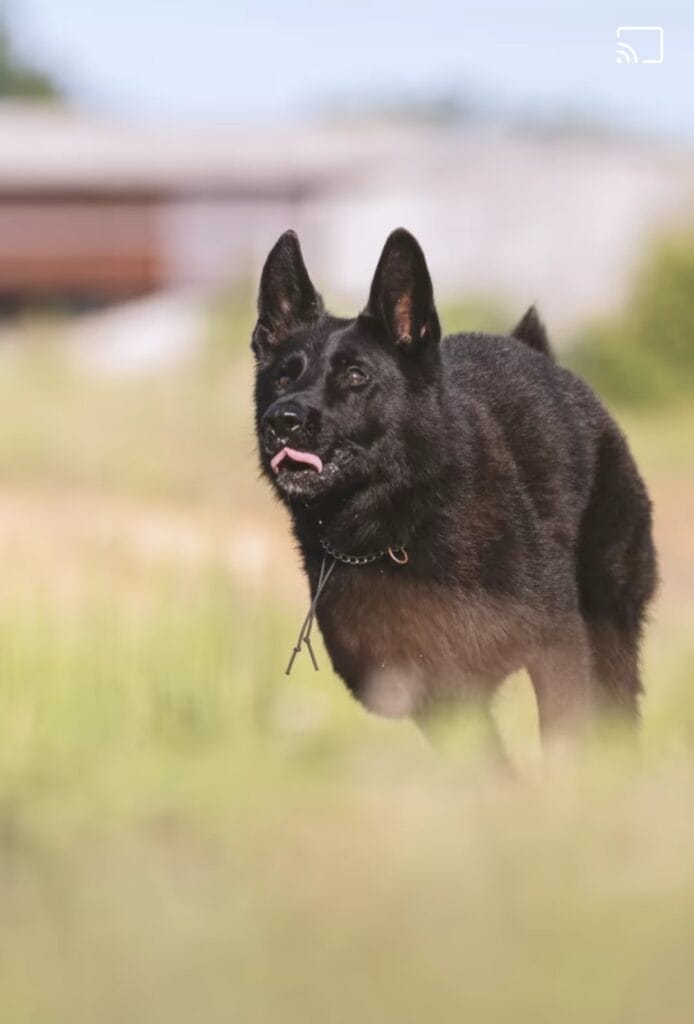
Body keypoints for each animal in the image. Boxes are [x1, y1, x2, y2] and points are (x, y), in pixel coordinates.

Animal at [252, 227, 657, 744]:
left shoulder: (558, 651)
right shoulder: (439, 696)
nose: (281, 420)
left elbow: (564, 740)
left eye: (356, 375)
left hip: (610, 627)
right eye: (284, 376)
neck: (399, 529)